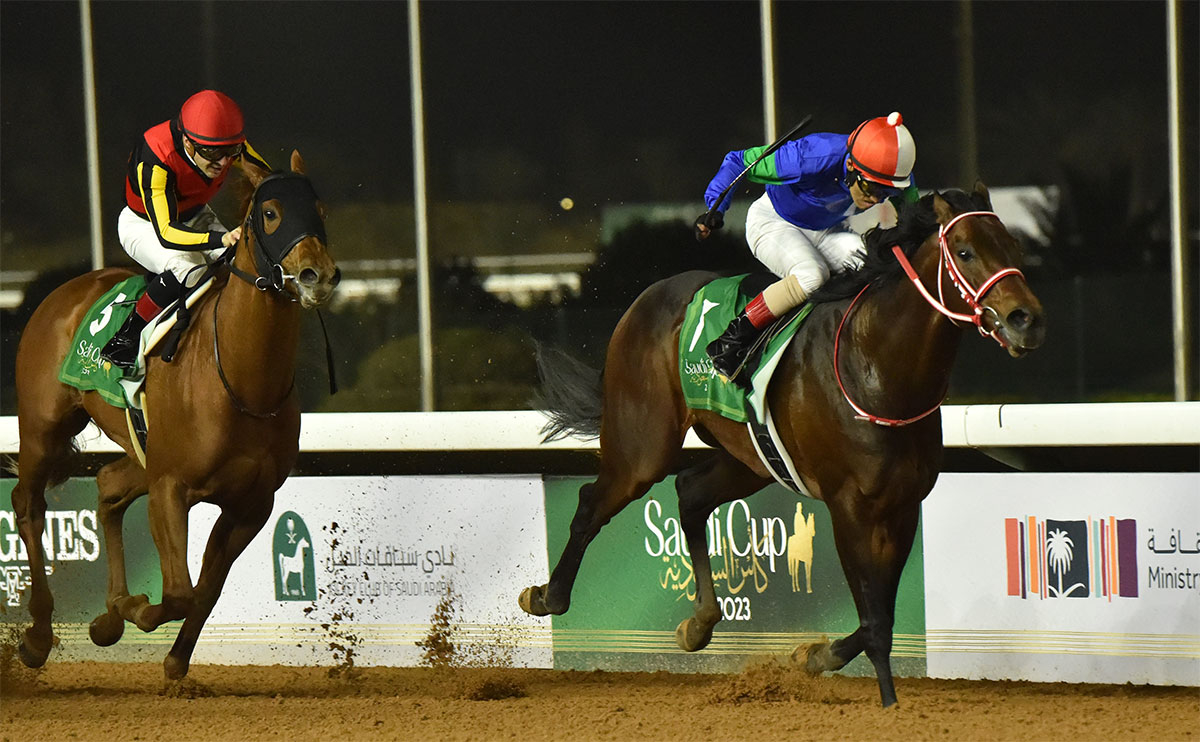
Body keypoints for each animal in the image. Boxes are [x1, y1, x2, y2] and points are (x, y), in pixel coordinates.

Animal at [10, 148, 338, 677]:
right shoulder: (170, 487)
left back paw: (107, 618)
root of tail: (65, 290)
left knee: (109, 486)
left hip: (141, 448)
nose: (318, 275)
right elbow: (180, 592)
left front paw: (168, 655)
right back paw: (39, 636)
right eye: (270, 214)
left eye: (320, 211)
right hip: (43, 426)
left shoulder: (252, 503)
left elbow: (206, 591)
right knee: (28, 504)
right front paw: (135, 610)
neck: (243, 383)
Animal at [520, 182, 1046, 701]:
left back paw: (699, 623)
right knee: (593, 503)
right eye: (965, 251)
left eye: (1013, 247)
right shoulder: (849, 506)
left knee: (690, 492)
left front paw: (814, 656)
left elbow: (881, 615)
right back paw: (546, 595)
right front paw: (889, 702)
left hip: (752, 457)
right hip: (643, 446)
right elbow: (875, 620)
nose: (1027, 319)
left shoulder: (902, 504)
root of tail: (646, 298)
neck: (878, 365)